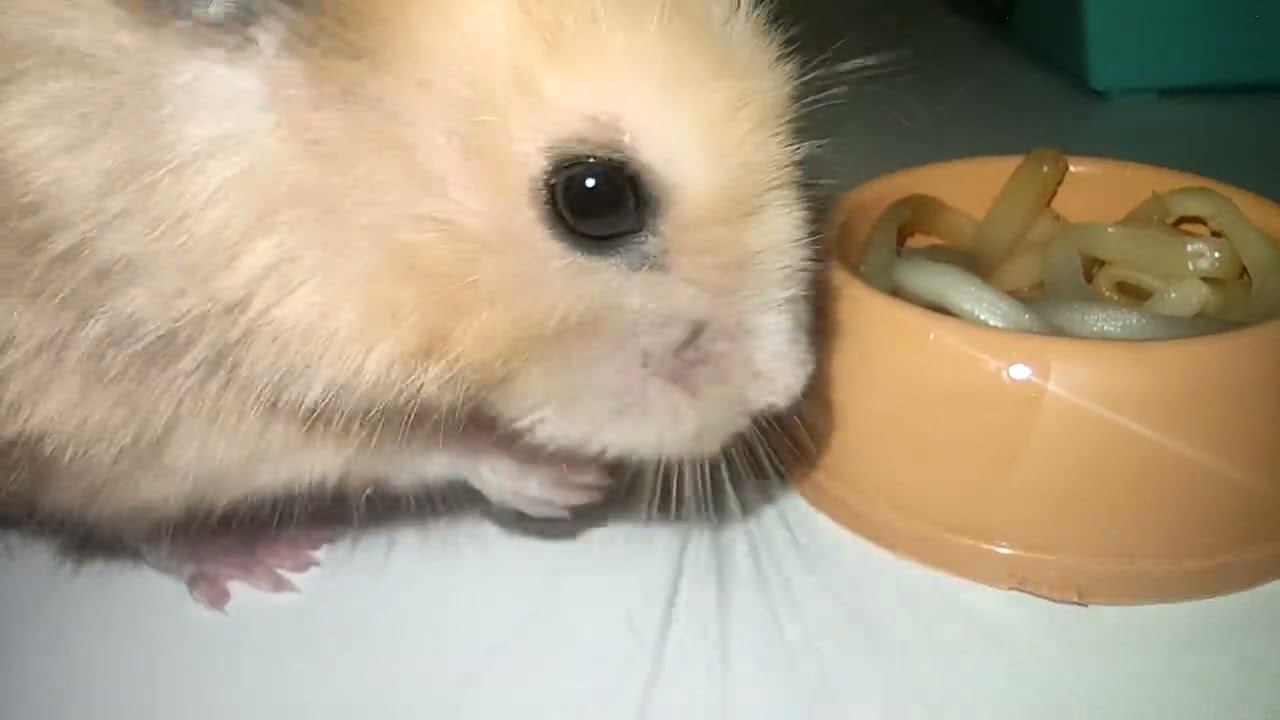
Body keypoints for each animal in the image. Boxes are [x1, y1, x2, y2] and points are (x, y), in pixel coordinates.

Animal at [0, 0, 816, 608]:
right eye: (597, 198)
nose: (792, 384)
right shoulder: (155, 394)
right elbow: (402, 444)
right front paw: (568, 484)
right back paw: (264, 560)